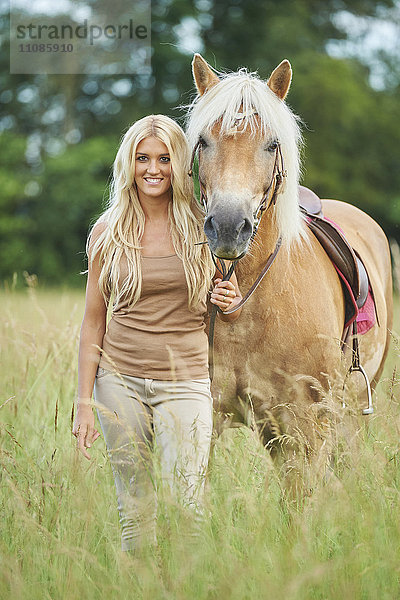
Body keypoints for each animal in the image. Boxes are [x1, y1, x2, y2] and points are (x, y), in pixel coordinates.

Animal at [186, 52, 392, 492]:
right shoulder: (203, 417)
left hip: (349, 415)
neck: (247, 306)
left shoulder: (301, 427)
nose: (228, 226)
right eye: (204, 141)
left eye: (272, 144)